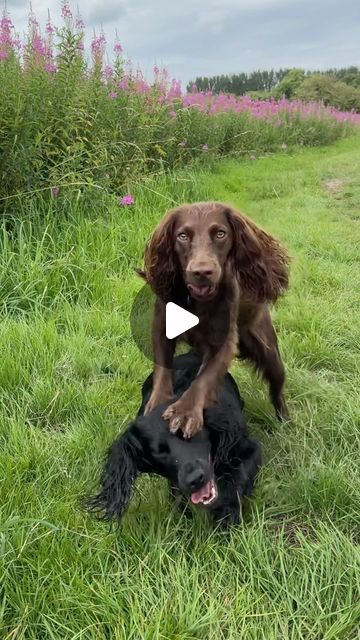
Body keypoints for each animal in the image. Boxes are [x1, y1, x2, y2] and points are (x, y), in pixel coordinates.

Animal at [87, 350, 262, 524]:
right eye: (158, 453)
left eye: (188, 431)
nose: (195, 479)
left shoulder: (248, 447)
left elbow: (238, 479)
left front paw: (226, 516)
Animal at [138, 202, 290, 438]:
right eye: (182, 236)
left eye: (220, 234)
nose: (202, 272)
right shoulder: (162, 326)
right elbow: (162, 369)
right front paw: (158, 402)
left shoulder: (223, 341)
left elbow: (204, 377)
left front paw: (185, 412)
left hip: (270, 354)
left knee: (277, 390)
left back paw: (285, 421)